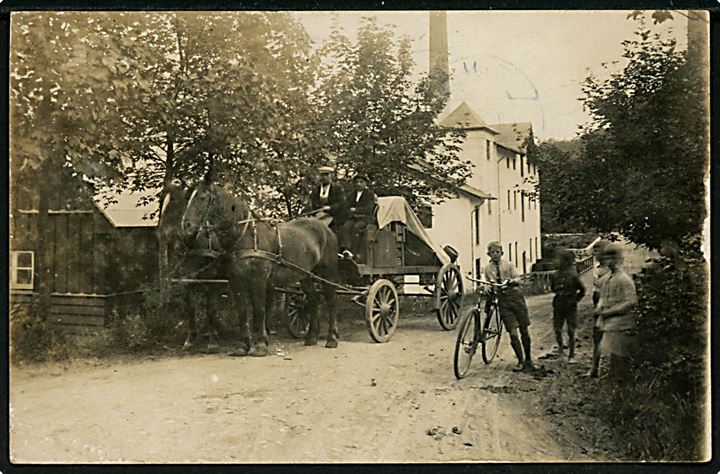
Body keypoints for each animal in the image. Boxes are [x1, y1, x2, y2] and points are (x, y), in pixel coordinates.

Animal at [179, 181, 338, 356]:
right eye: (188, 198)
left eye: (201, 198)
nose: (186, 226)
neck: (246, 237)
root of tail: (325, 228)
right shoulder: (236, 282)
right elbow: (242, 312)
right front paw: (242, 346)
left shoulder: (259, 281)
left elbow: (259, 310)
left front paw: (261, 345)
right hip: (305, 275)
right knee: (312, 300)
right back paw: (311, 338)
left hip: (328, 273)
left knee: (331, 301)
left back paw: (332, 339)